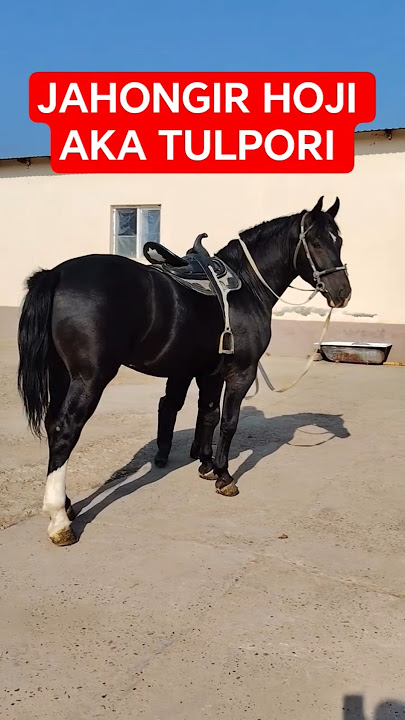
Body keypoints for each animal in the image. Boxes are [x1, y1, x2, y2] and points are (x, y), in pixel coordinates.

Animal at [17, 196, 351, 547]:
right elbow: (228, 422)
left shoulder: (209, 372)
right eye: (316, 241)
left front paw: (206, 464)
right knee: (65, 429)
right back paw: (59, 520)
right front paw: (224, 476)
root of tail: (56, 274)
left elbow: (209, 414)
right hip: (89, 379)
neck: (246, 287)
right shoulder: (241, 373)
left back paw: (68, 505)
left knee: (52, 425)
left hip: (61, 376)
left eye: (339, 240)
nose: (343, 292)